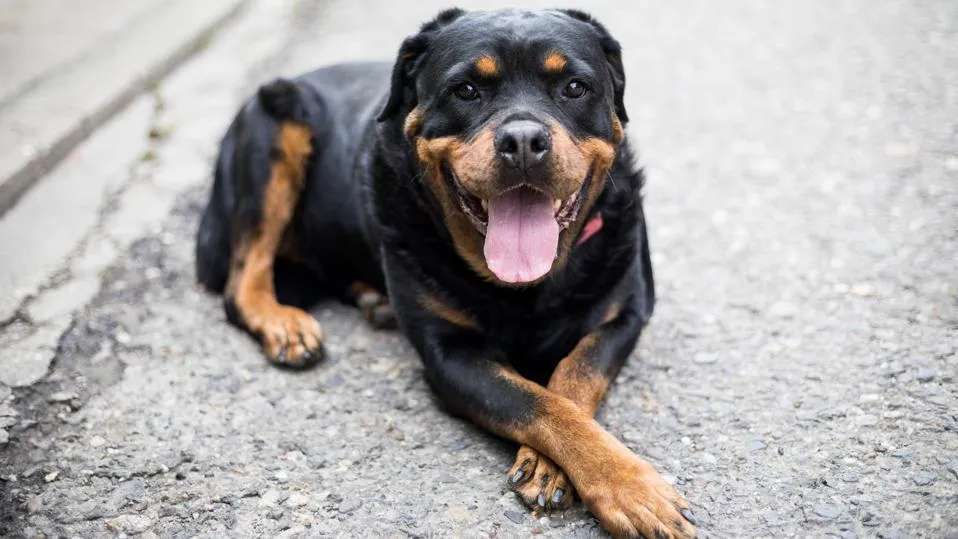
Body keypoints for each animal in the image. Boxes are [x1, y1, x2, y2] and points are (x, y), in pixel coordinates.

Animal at [197, 8, 696, 539]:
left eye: (575, 87)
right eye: (466, 90)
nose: (523, 140)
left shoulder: (624, 316)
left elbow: (575, 376)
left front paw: (570, 469)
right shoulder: (449, 355)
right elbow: (539, 403)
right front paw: (630, 487)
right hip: (275, 124)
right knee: (242, 279)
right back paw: (285, 324)